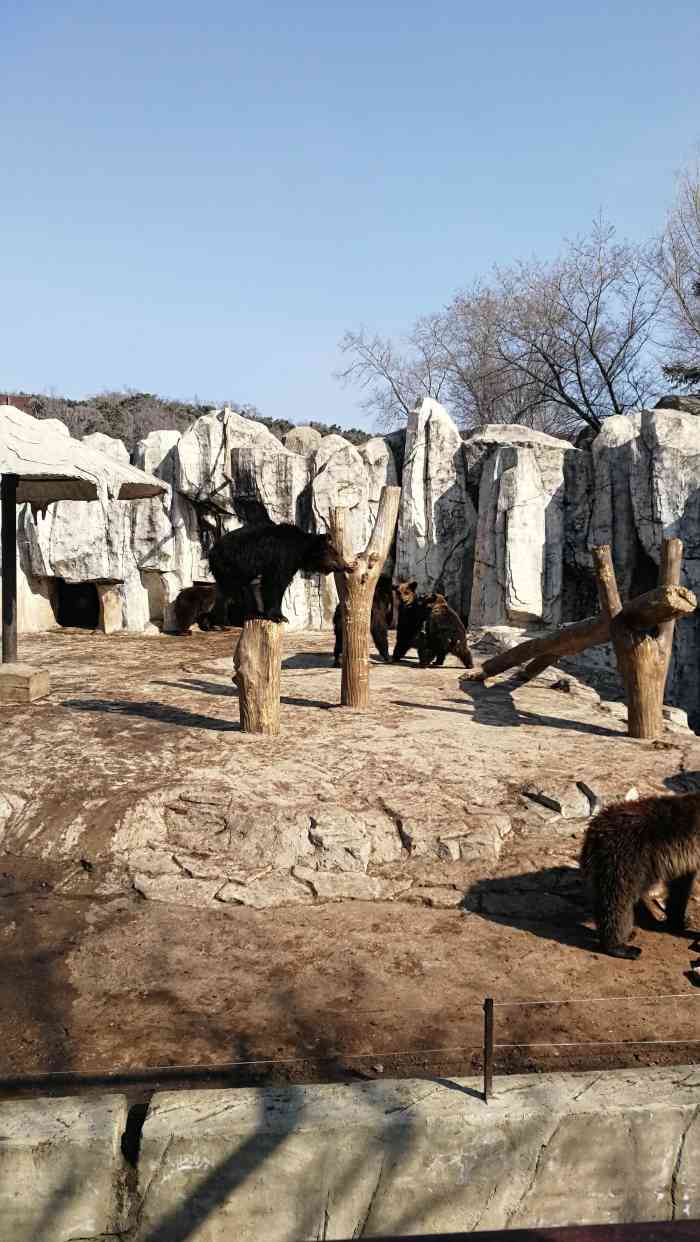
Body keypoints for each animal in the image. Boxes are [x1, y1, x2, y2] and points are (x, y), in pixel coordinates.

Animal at [207, 521, 350, 625]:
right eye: (336, 555)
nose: (346, 566)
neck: (301, 550)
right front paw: (279, 616)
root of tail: (212, 550)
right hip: (231, 565)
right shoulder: (281, 555)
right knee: (232, 589)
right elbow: (275, 582)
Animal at [575, 794, 700, 958]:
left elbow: (680, 887)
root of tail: (595, 832)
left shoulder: (685, 862)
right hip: (627, 858)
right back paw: (622, 947)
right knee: (618, 900)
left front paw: (680, 921)